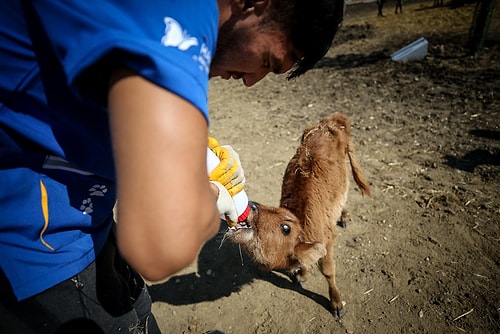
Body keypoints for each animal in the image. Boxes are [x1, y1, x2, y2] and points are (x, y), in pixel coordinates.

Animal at [229, 111, 370, 316]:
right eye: (271, 209)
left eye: (285, 228)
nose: (253, 206)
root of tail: (329, 121)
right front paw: (302, 276)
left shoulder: (327, 241)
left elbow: (328, 270)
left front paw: (336, 303)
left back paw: (344, 217)